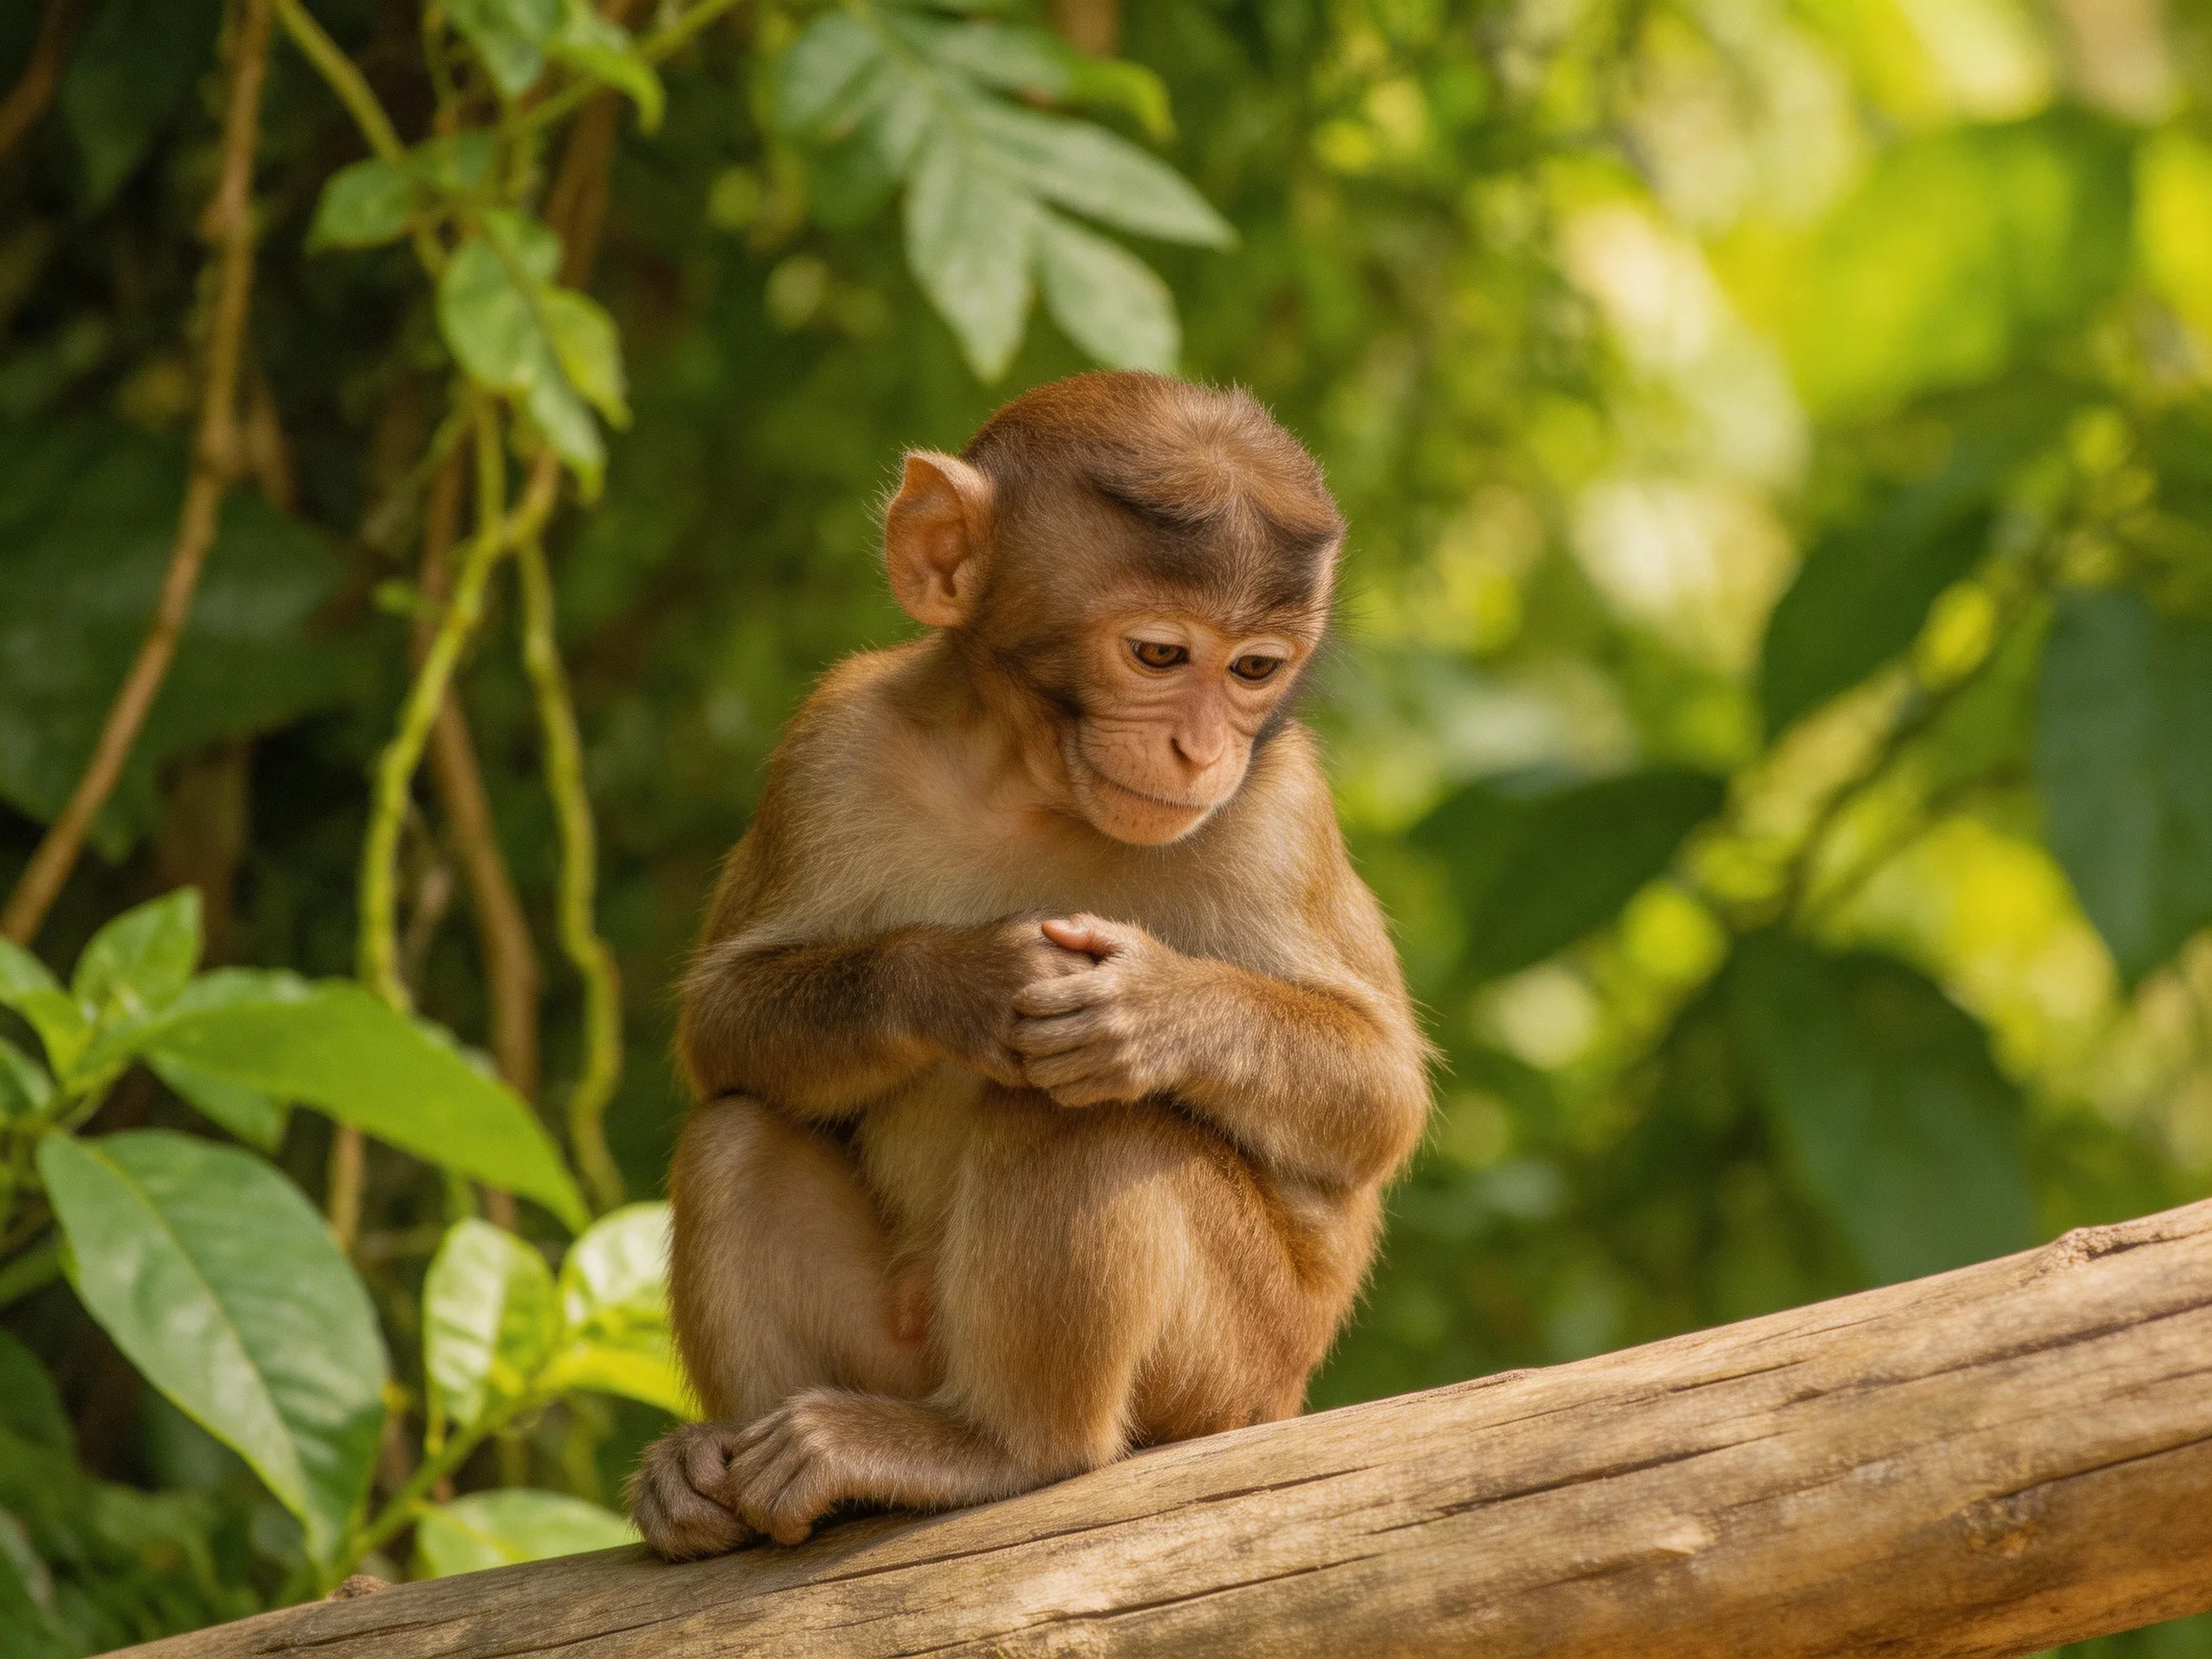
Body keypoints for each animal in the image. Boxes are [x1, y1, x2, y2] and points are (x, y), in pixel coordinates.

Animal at [629, 370, 1432, 1558]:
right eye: (1158, 655)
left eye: (1253, 669)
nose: (1204, 749)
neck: (1029, 782)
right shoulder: (830, 743)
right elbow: (724, 1024)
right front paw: (963, 982)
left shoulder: (1279, 808)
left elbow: (1378, 1096)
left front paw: (1151, 1007)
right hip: (895, 1349)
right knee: (738, 1129)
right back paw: (721, 1473)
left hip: (1230, 1370)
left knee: (1082, 1111)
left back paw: (1005, 1449)